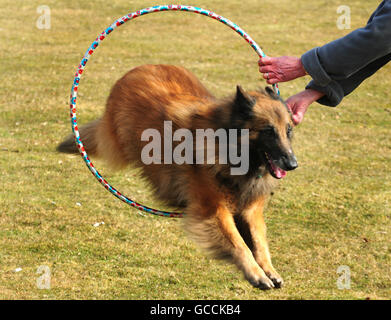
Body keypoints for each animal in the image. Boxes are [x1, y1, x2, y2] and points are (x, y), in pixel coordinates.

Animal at [57, 63, 298, 288]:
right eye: (268, 131)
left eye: (288, 130)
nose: (292, 164)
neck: (227, 146)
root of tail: (141, 68)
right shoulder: (214, 210)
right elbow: (239, 243)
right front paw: (256, 273)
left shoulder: (250, 210)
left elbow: (259, 242)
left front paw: (269, 269)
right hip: (116, 144)